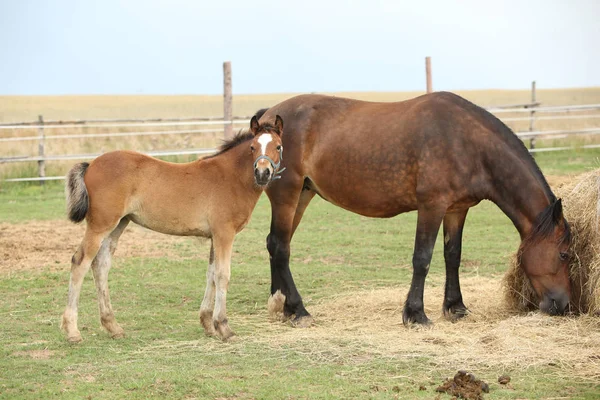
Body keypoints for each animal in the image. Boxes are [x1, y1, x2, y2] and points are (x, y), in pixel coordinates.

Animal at [62, 115, 288, 340]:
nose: (262, 173)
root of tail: (91, 164)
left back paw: (113, 326)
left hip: (118, 224)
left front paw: (208, 324)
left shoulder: (214, 236)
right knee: (80, 262)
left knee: (101, 265)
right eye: (252, 147)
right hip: (100, 225)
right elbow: (223, 275)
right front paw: (223, 327)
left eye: (278, 146)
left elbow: (211, 274)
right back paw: (72, 330)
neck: (231, 177)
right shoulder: (224, 233)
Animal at [256, 92, 572, 326]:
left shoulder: (456, 210)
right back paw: (297, 309)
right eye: (564, 254)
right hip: (287, 195)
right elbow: (423, 258)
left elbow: (452, 256)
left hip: (302, 195)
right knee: (281, 247)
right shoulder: (431, 206)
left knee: (276, 243)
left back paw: (279, 303)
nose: (563, 305)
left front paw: (456, 307)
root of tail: (270, 116)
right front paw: (415, 314)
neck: (466, 142)